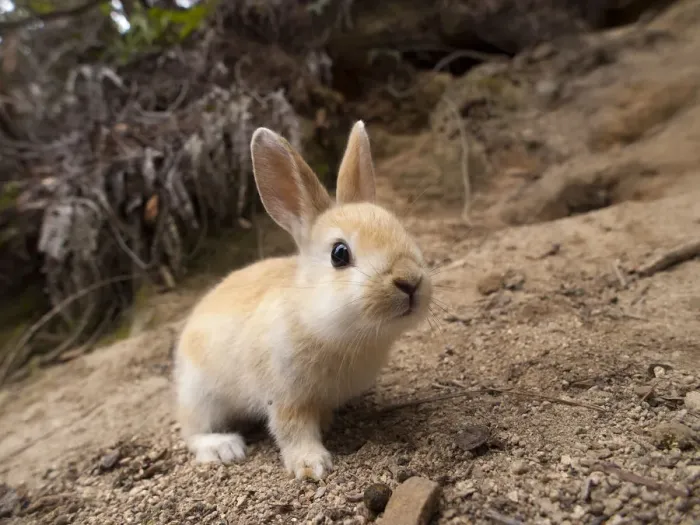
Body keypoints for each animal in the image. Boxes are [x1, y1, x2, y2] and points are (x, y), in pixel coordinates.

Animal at [174, 120, 432, 480]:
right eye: (340, 254)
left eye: (403, 231)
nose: (410, 281)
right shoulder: (285, 397)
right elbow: (292, 431)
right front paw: (312, 466)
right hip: (201, 395)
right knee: (192, 431)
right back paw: (225, 447)